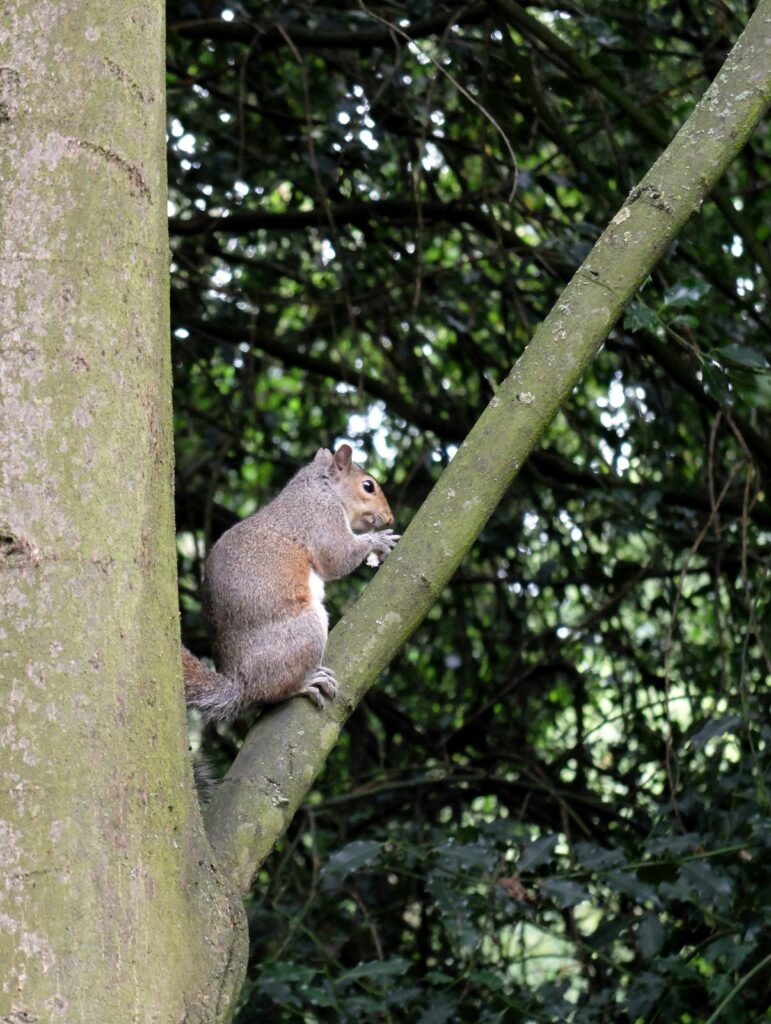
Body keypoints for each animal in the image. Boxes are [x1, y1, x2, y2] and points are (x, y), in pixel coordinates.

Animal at [180, 444, 397, 724]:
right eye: (368, 486)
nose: (390, 518)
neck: (321, 487)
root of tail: (240, 686)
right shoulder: (320, 518)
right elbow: (337, 556)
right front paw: (378, 540)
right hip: (305, 631)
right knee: (271, 693)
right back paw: (305, 683)